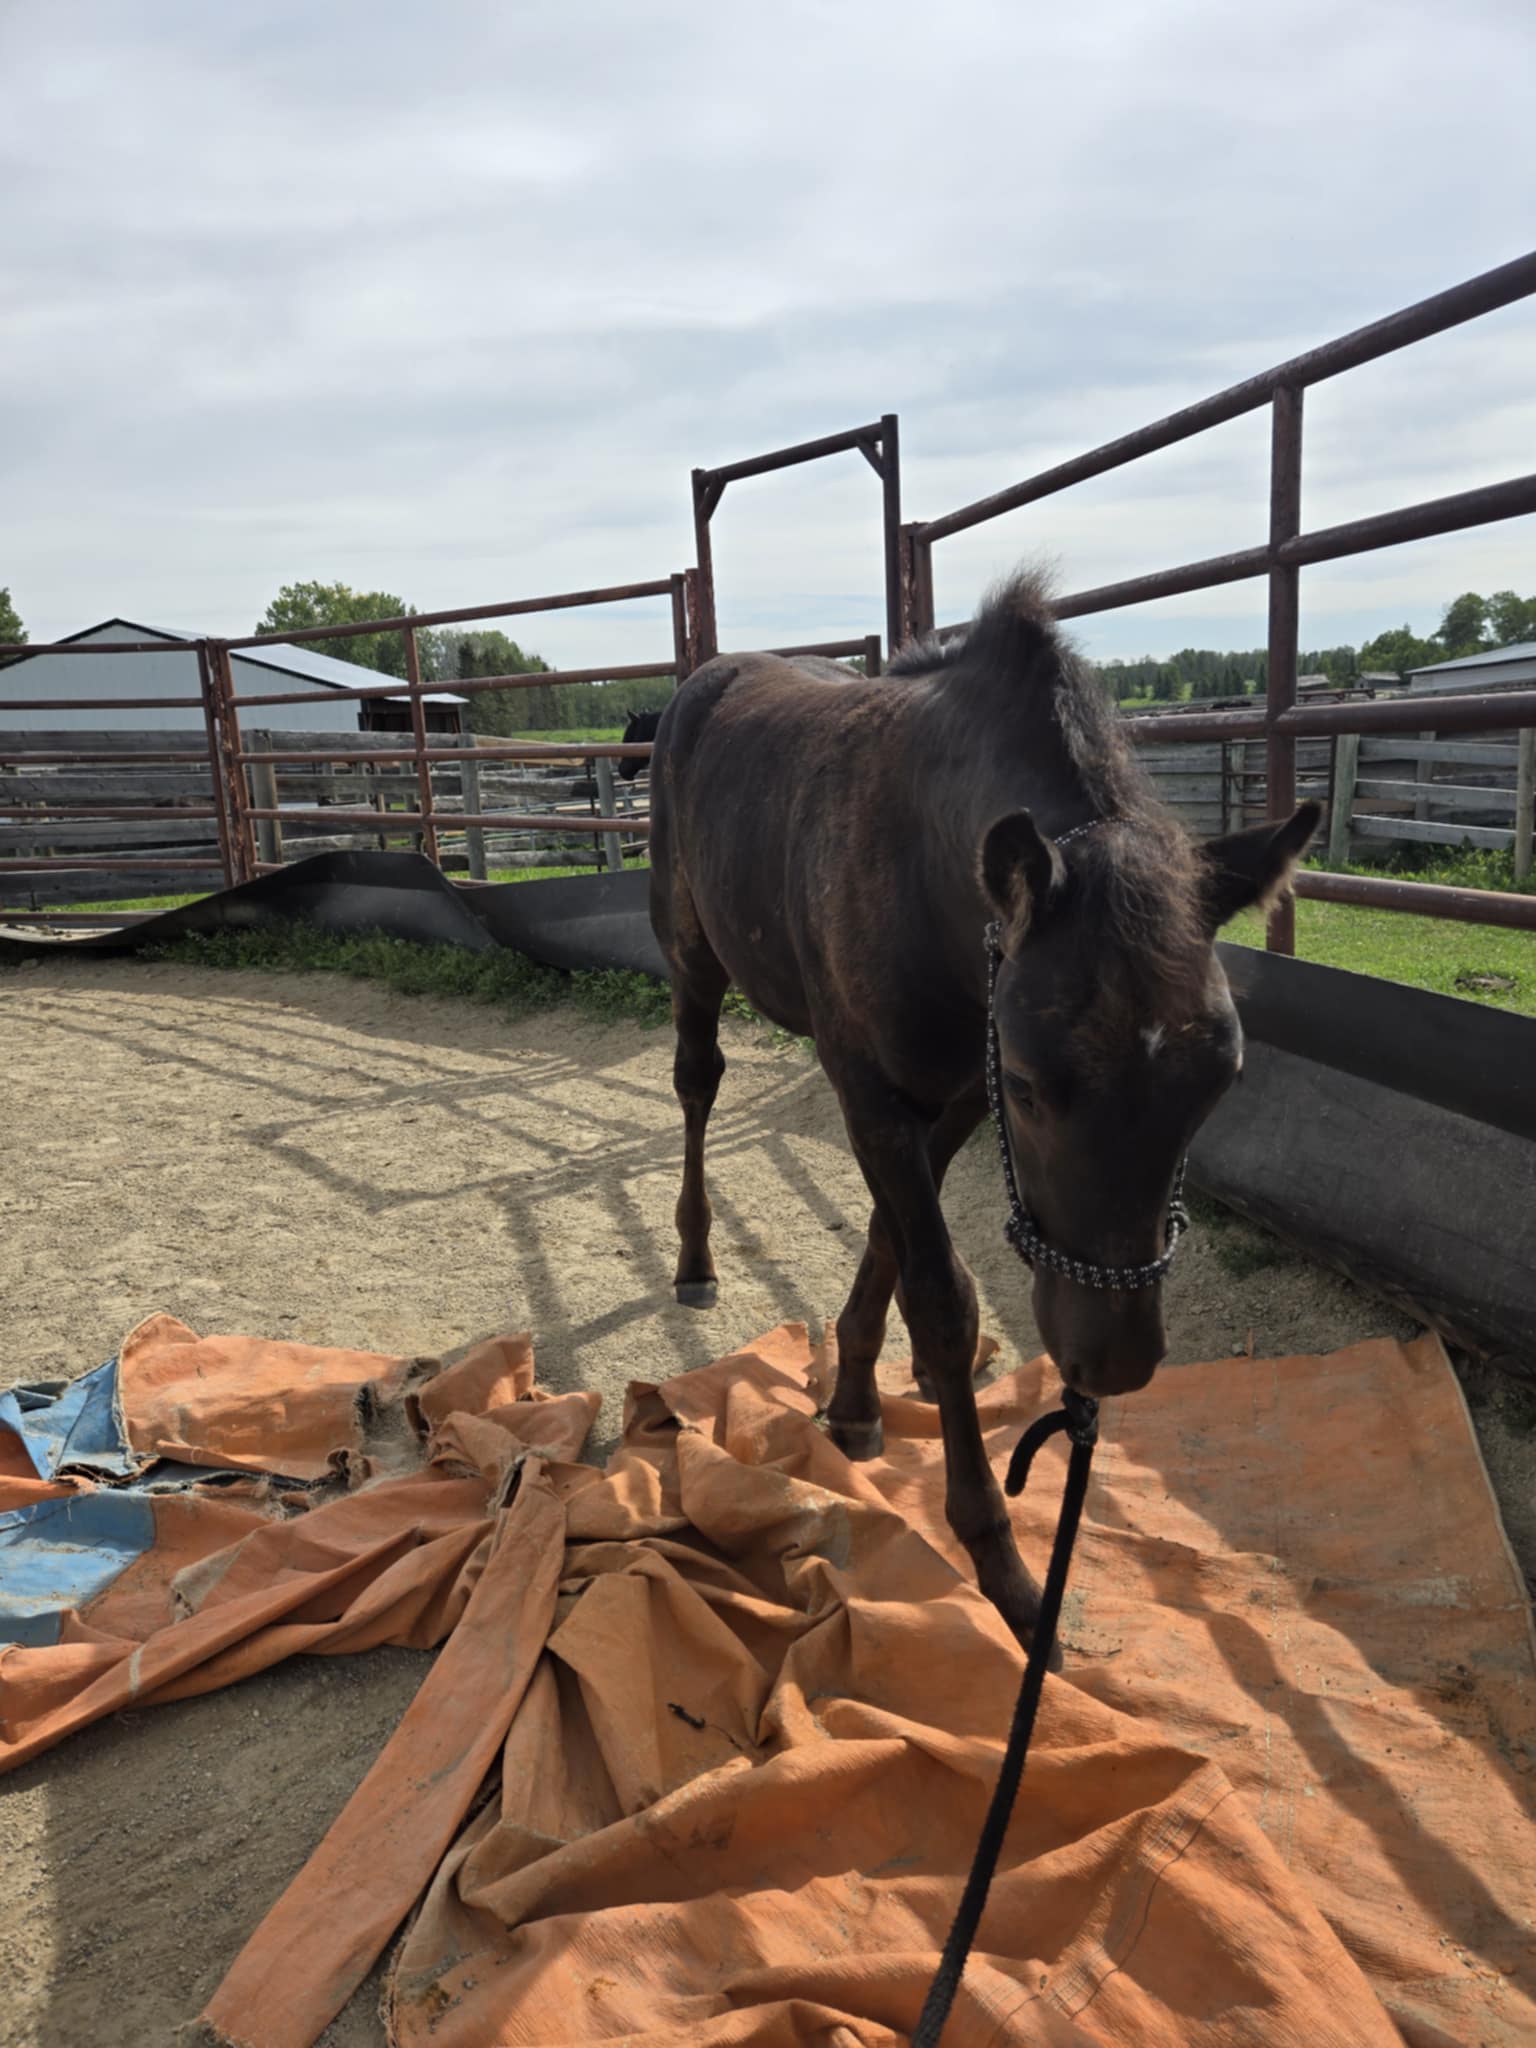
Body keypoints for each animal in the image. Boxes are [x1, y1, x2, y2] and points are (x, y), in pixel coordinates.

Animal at [648, 571, 1318, 1646]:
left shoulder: (955, 1089)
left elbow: (894, 1240)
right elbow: (942, 1296)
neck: (931, 879)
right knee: (696, 1083)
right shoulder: (872, 1084)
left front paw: (855, 1397)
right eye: (1035, 1088)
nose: (1111, 1358)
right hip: (693, 956)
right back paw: (696, 1257)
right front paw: (999, 1563)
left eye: (1222, 1081)